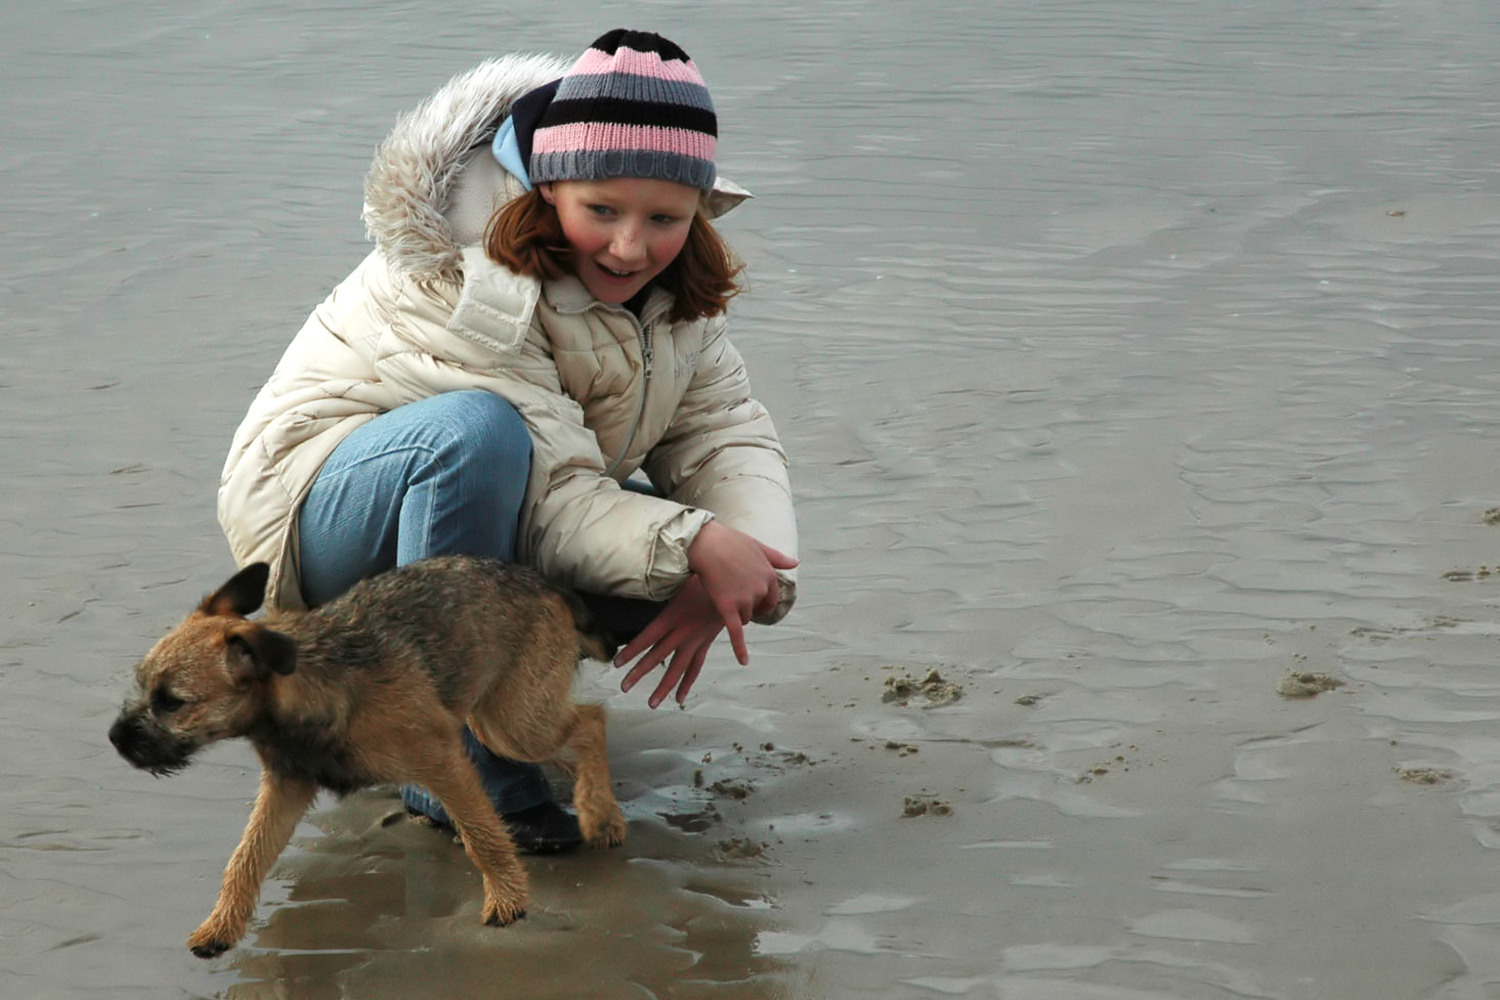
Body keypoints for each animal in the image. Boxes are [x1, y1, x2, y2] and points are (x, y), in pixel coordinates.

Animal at [108, 555, 626, 958]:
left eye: (171, 701)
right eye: (142, 685)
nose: (115, 738)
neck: (310, 683)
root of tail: (545, 582)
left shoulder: (441, 760)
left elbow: (484, 835)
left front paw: (507, 899)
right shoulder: (286, 785)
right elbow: (246, 857)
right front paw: (220, 926)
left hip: (513, 724)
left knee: (591, 722)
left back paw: (597, 811)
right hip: (502, 719)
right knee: (583, 731)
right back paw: (605, 813)